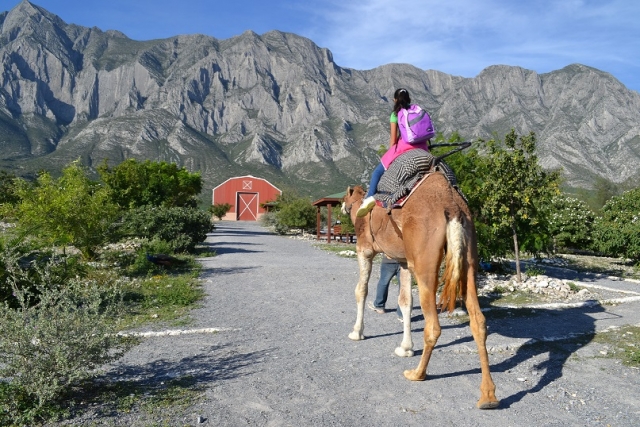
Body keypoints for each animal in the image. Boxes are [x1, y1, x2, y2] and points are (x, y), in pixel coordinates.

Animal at [341, 172, 499, 409]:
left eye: (344, 197)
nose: (342, 206)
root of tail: (453, 208)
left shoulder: (365, 249)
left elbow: (361, 290)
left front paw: (356, 332)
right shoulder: (404, 261)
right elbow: (406, 302)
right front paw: (406, 348)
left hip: (425, 261)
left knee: (433, 326)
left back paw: (417, 374)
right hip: (469, 256)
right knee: (478, 320)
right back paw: (488, 396)